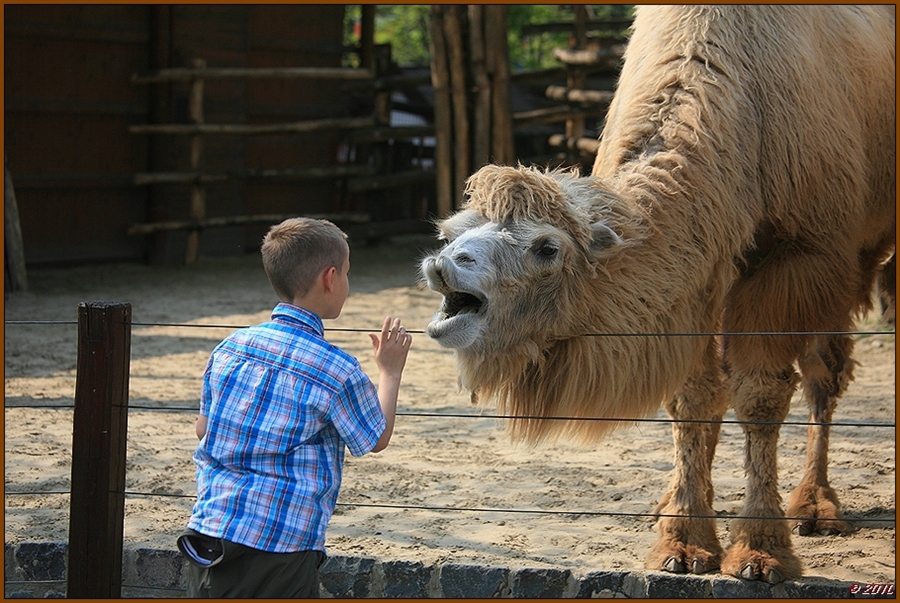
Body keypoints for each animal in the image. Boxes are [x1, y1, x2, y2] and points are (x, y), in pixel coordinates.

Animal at [420, 4, 892, 584]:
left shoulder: (797, 259)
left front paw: (760, 551)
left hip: (854, 257)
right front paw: (683, 540)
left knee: (826, 375)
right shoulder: (698, 277)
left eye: (547, 248)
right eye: (451, 232)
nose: (444, 264)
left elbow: (761, 395)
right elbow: (692, 398)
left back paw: (815, 506)